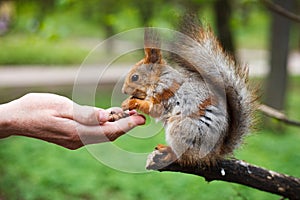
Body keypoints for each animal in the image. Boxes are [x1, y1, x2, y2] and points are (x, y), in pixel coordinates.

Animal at [120, 14, 254, 170]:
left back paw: (168, 152)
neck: (160, 78)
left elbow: (154, 109)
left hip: (181, 129)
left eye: (135, 77)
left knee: (184, 157)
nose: (123, 90)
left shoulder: (164, 95)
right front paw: (126, 102)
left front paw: (132, 102)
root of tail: (212, 154)